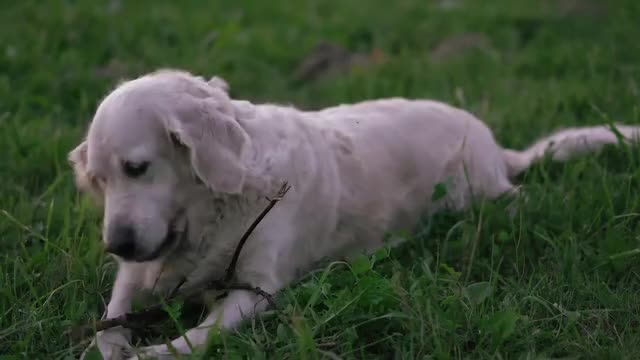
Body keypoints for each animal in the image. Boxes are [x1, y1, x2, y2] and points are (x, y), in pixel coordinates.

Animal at [71, 69, 640, 358]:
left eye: (137, 167)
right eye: (99, 180)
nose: (116, 245)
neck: (216, 206)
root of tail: (495, 146)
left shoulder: (257, 289)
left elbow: (195, 339)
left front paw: (150, 352)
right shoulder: (139, 272)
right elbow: (109, 324)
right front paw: (115, 343)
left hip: (483, 196)